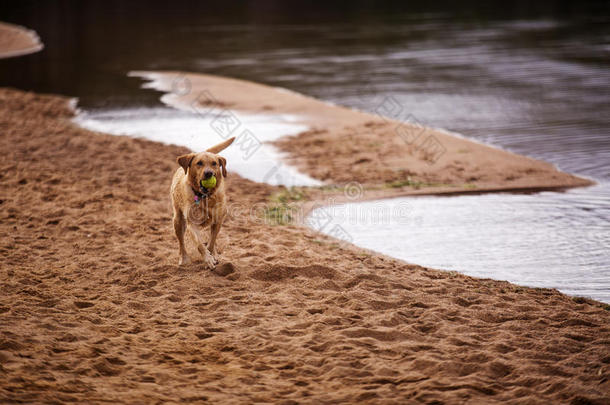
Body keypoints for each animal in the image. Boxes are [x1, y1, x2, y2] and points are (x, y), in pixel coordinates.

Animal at [170, 137, 234, 268]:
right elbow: (199, 244)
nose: (209, 173)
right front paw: (208, 258)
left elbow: (212, 241)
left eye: (214, 163)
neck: (205, 197)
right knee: (181, 242)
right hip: (178, 220)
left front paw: (212, 255)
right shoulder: (192, 224)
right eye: (199, 163)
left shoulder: (218, 221)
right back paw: (184, 259)